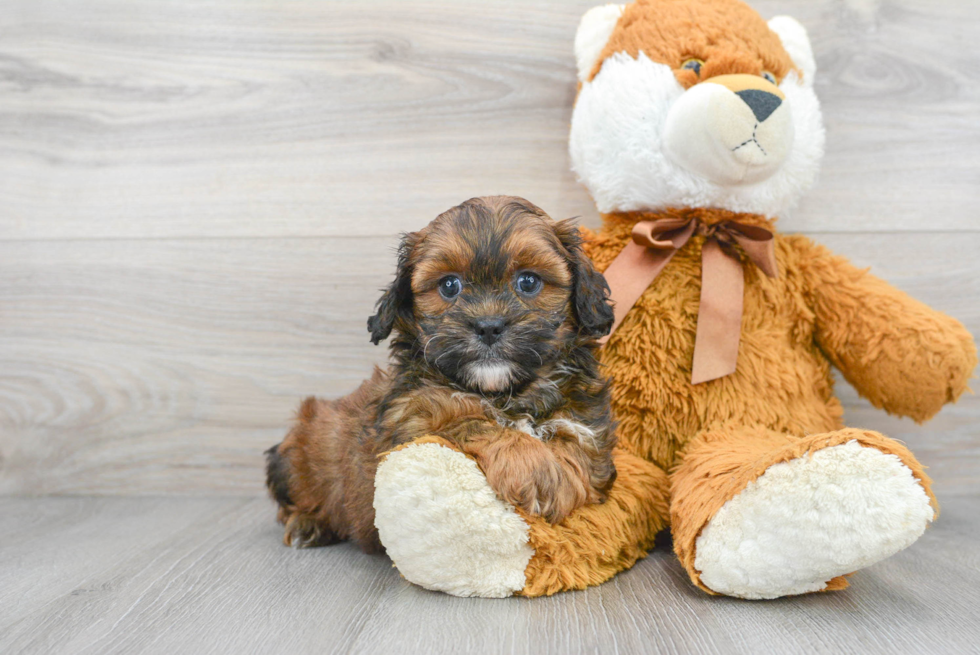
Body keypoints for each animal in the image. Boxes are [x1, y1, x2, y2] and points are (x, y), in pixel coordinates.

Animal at [264, 196, 616, 552]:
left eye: (528, 282)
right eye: (449, 286)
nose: (488, 326)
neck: (505, 393)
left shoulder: (584, 427)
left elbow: (579, 454)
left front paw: (555, 479)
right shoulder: (411, 420)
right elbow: (466, 418)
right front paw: (534, 467)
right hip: (296, 456)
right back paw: (307, 523)